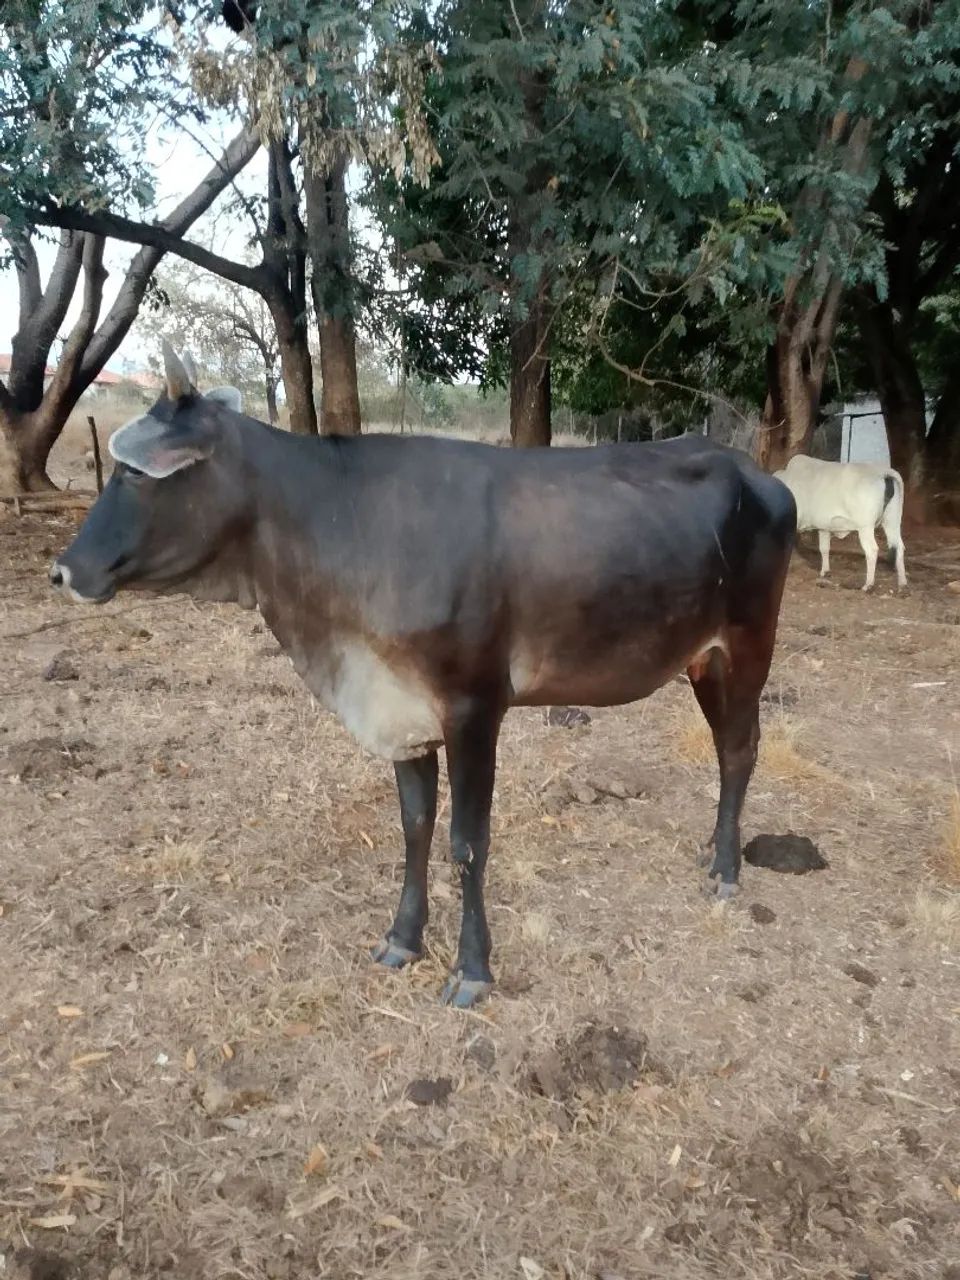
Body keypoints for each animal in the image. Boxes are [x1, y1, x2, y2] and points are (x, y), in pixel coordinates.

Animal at [50, 343, 797, 1008]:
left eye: (135, 474)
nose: (62, 570)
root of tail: (758, 473)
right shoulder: (401, 711)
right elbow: (415, 826)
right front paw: (403, 939)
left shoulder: (474, 706)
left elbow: (467, 842)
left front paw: (472, 970)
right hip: (701, 659)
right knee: (726, 747)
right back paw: (713, 848)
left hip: (749, 643)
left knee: (740, 748)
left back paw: (727, 869)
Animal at [773, 454, 907, 592]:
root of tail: (884, 473)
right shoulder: (824, 527)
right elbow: (824, 548)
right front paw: (825, 571)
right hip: (892, 521)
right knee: (899, 547)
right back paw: (902, 583)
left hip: (866, 527)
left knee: (872, 550)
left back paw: (868, 585)